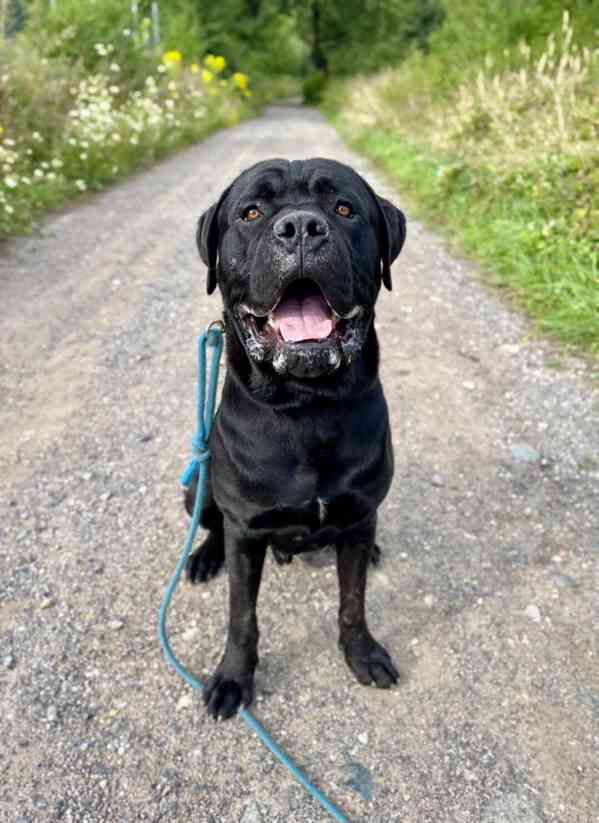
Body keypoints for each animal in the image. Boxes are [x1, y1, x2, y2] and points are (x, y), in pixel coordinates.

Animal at [185, 158, 406, 716]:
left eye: (344, 208)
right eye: (251, 212)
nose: (302, 227)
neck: (307, 407)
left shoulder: (358, 513)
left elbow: (353, 601)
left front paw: (362, 654)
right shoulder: (246, 531)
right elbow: (242, 616)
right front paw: (232, 678)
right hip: (195, 482)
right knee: (211, 522)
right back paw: (204, 558)